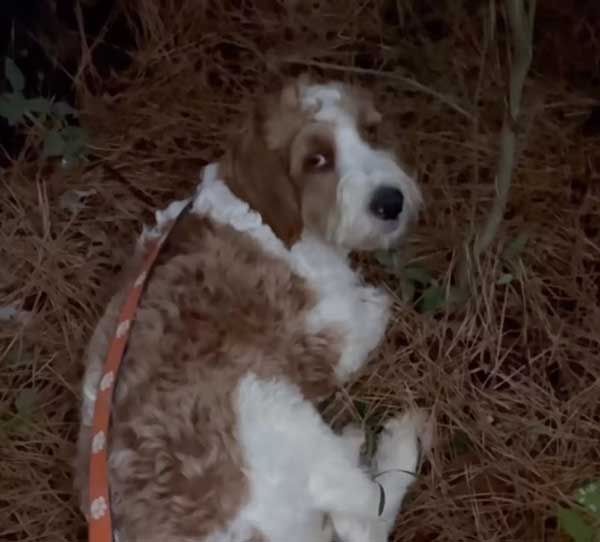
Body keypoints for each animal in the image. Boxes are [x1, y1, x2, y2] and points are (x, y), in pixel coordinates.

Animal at [75, 75, 424, 542]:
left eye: (371, 131)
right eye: (316, 160)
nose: (391, 202)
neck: (262, 214)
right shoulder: (330, 339)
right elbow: (373, 309)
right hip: (273, 403)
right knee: (369, 510)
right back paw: (398, 442)